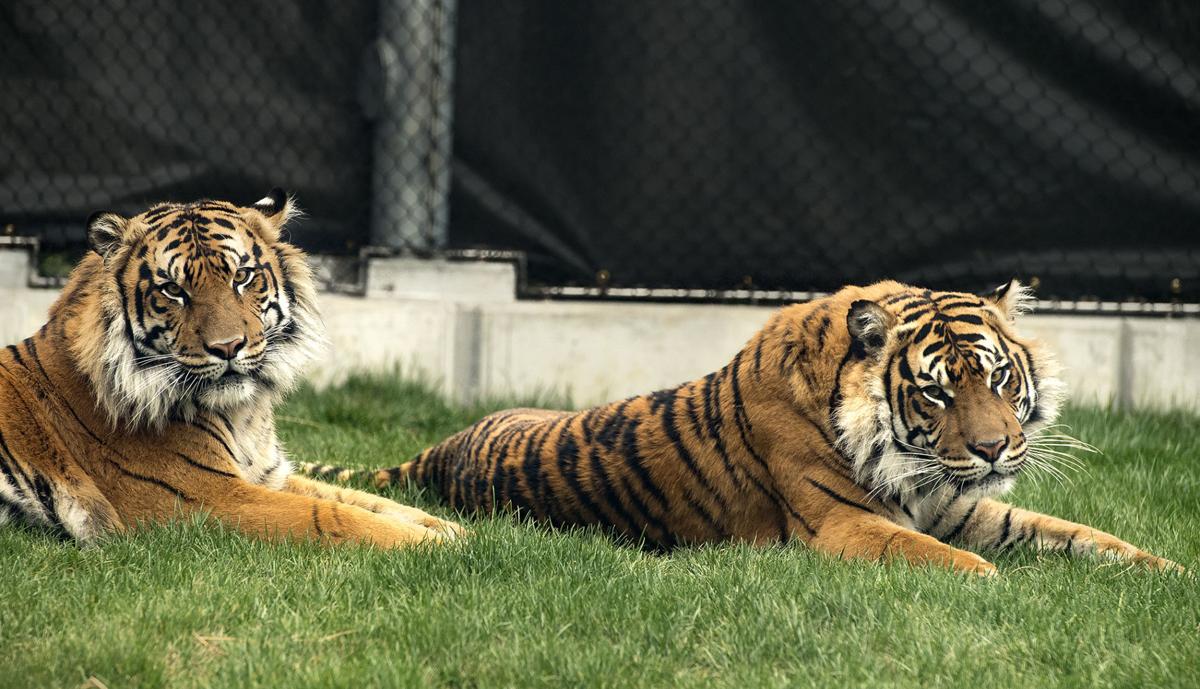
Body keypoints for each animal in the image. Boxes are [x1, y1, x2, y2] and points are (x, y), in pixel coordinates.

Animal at [0, 192, 460, 547]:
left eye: (242, 276)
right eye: (173, 290)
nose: (227, 347)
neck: (243, 414)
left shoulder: (267, 476)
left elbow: (364, 499)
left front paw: (455, 530)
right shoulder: (212, 498)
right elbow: (332, 515)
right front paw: (438, 548)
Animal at [302, 280, 1180, 578]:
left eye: (998, 378)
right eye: (935, 393)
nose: (996, 446)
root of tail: (437, 452)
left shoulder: (962, 503)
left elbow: (1081, 535)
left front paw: (1167, 570)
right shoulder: (846, 525)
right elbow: (953, 560)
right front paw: (996, 583)